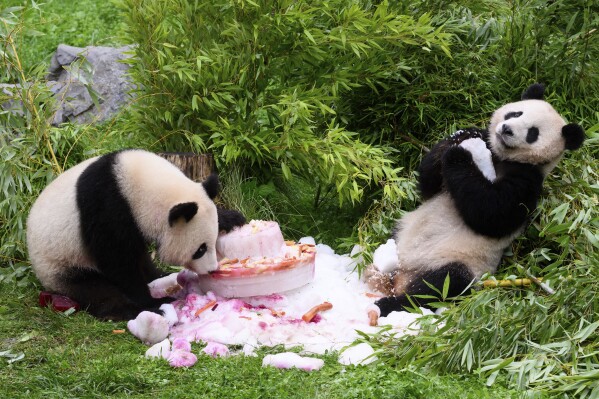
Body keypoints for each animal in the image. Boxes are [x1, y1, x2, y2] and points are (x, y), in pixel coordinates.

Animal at [25, 150, 246, 322]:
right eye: (200, 249)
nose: (211, 269)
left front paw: (232, 218)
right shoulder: (106, 207)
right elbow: (117, 261)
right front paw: (152, 302)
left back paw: (160, 276)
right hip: (61, 265)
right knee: (95, 289)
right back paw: (127, 310)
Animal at [366, 86, 584, 318]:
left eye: (533, 133)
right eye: (516, 113)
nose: (506, 129)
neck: (500, 157)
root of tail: (401, 276)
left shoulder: (528, 181)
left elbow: (492, 212)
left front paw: (459, 153)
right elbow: (427, 185)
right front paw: (464, 136)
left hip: (458, 261)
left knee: (440, 286)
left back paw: (387, 305)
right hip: (402, 233)